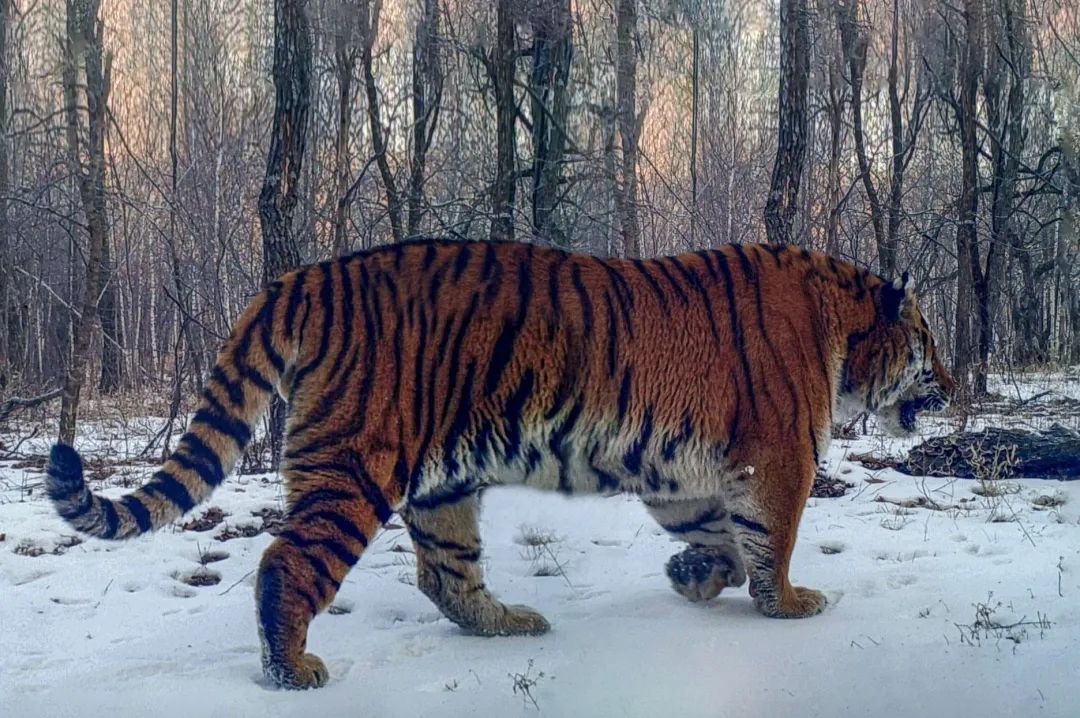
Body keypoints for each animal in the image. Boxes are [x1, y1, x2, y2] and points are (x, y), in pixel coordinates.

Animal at [44, 239, 954, 691]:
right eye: (930, 340)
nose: (951, 383)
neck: (843, 331)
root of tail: (304, 276)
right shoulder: (776, 456)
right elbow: (775, 539)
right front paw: (791, 604)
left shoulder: (684, 473)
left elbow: (724, 541)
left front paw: (692, 576)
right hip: (359, 464)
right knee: (288, 562)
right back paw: (291, 669)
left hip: (443, 480)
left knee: (444, 575)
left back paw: (510, 622)